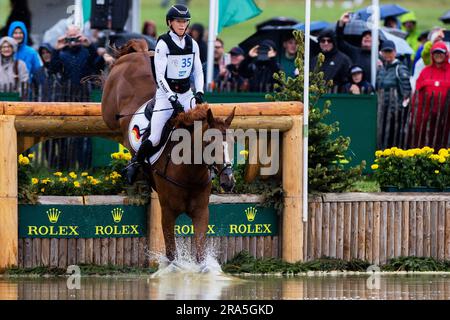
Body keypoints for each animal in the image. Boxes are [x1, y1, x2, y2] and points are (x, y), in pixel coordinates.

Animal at [101, 40, 236, 264]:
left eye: (233, 142)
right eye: (209, 142)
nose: (228, 181)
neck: (189, 172)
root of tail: (137, 54)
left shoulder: (202, 212)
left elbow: (201, 255)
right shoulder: (168, 213)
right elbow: (172, 255)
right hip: (109, 111)